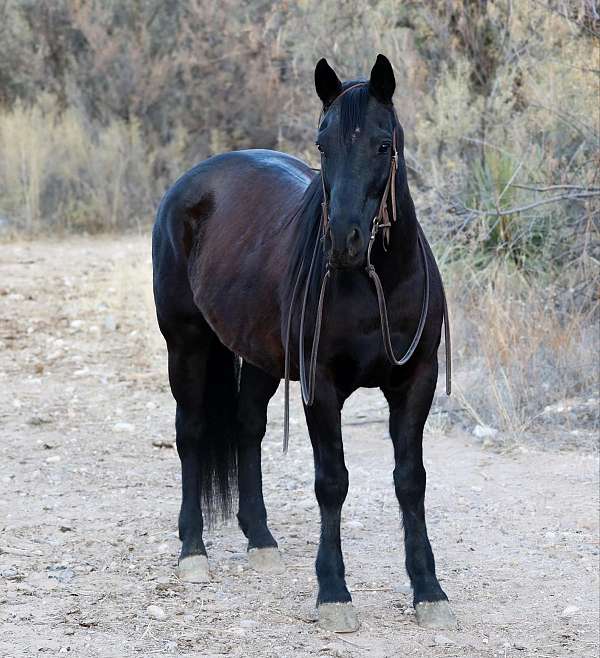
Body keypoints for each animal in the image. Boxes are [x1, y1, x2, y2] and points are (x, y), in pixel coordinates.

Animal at [151, 55, 454, 632]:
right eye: (322, 144)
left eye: (383, 143)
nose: (344, 241)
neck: (375, 283)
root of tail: (192, 182)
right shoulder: (323, 385)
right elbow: (331, 481)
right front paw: (334, 593)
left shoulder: (415, 382)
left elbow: (412, 480)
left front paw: (429, 591)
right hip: (187, 345)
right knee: (192, 433)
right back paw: (193, 552)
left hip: (259, 357)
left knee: (247, 427)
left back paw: (262, 541)